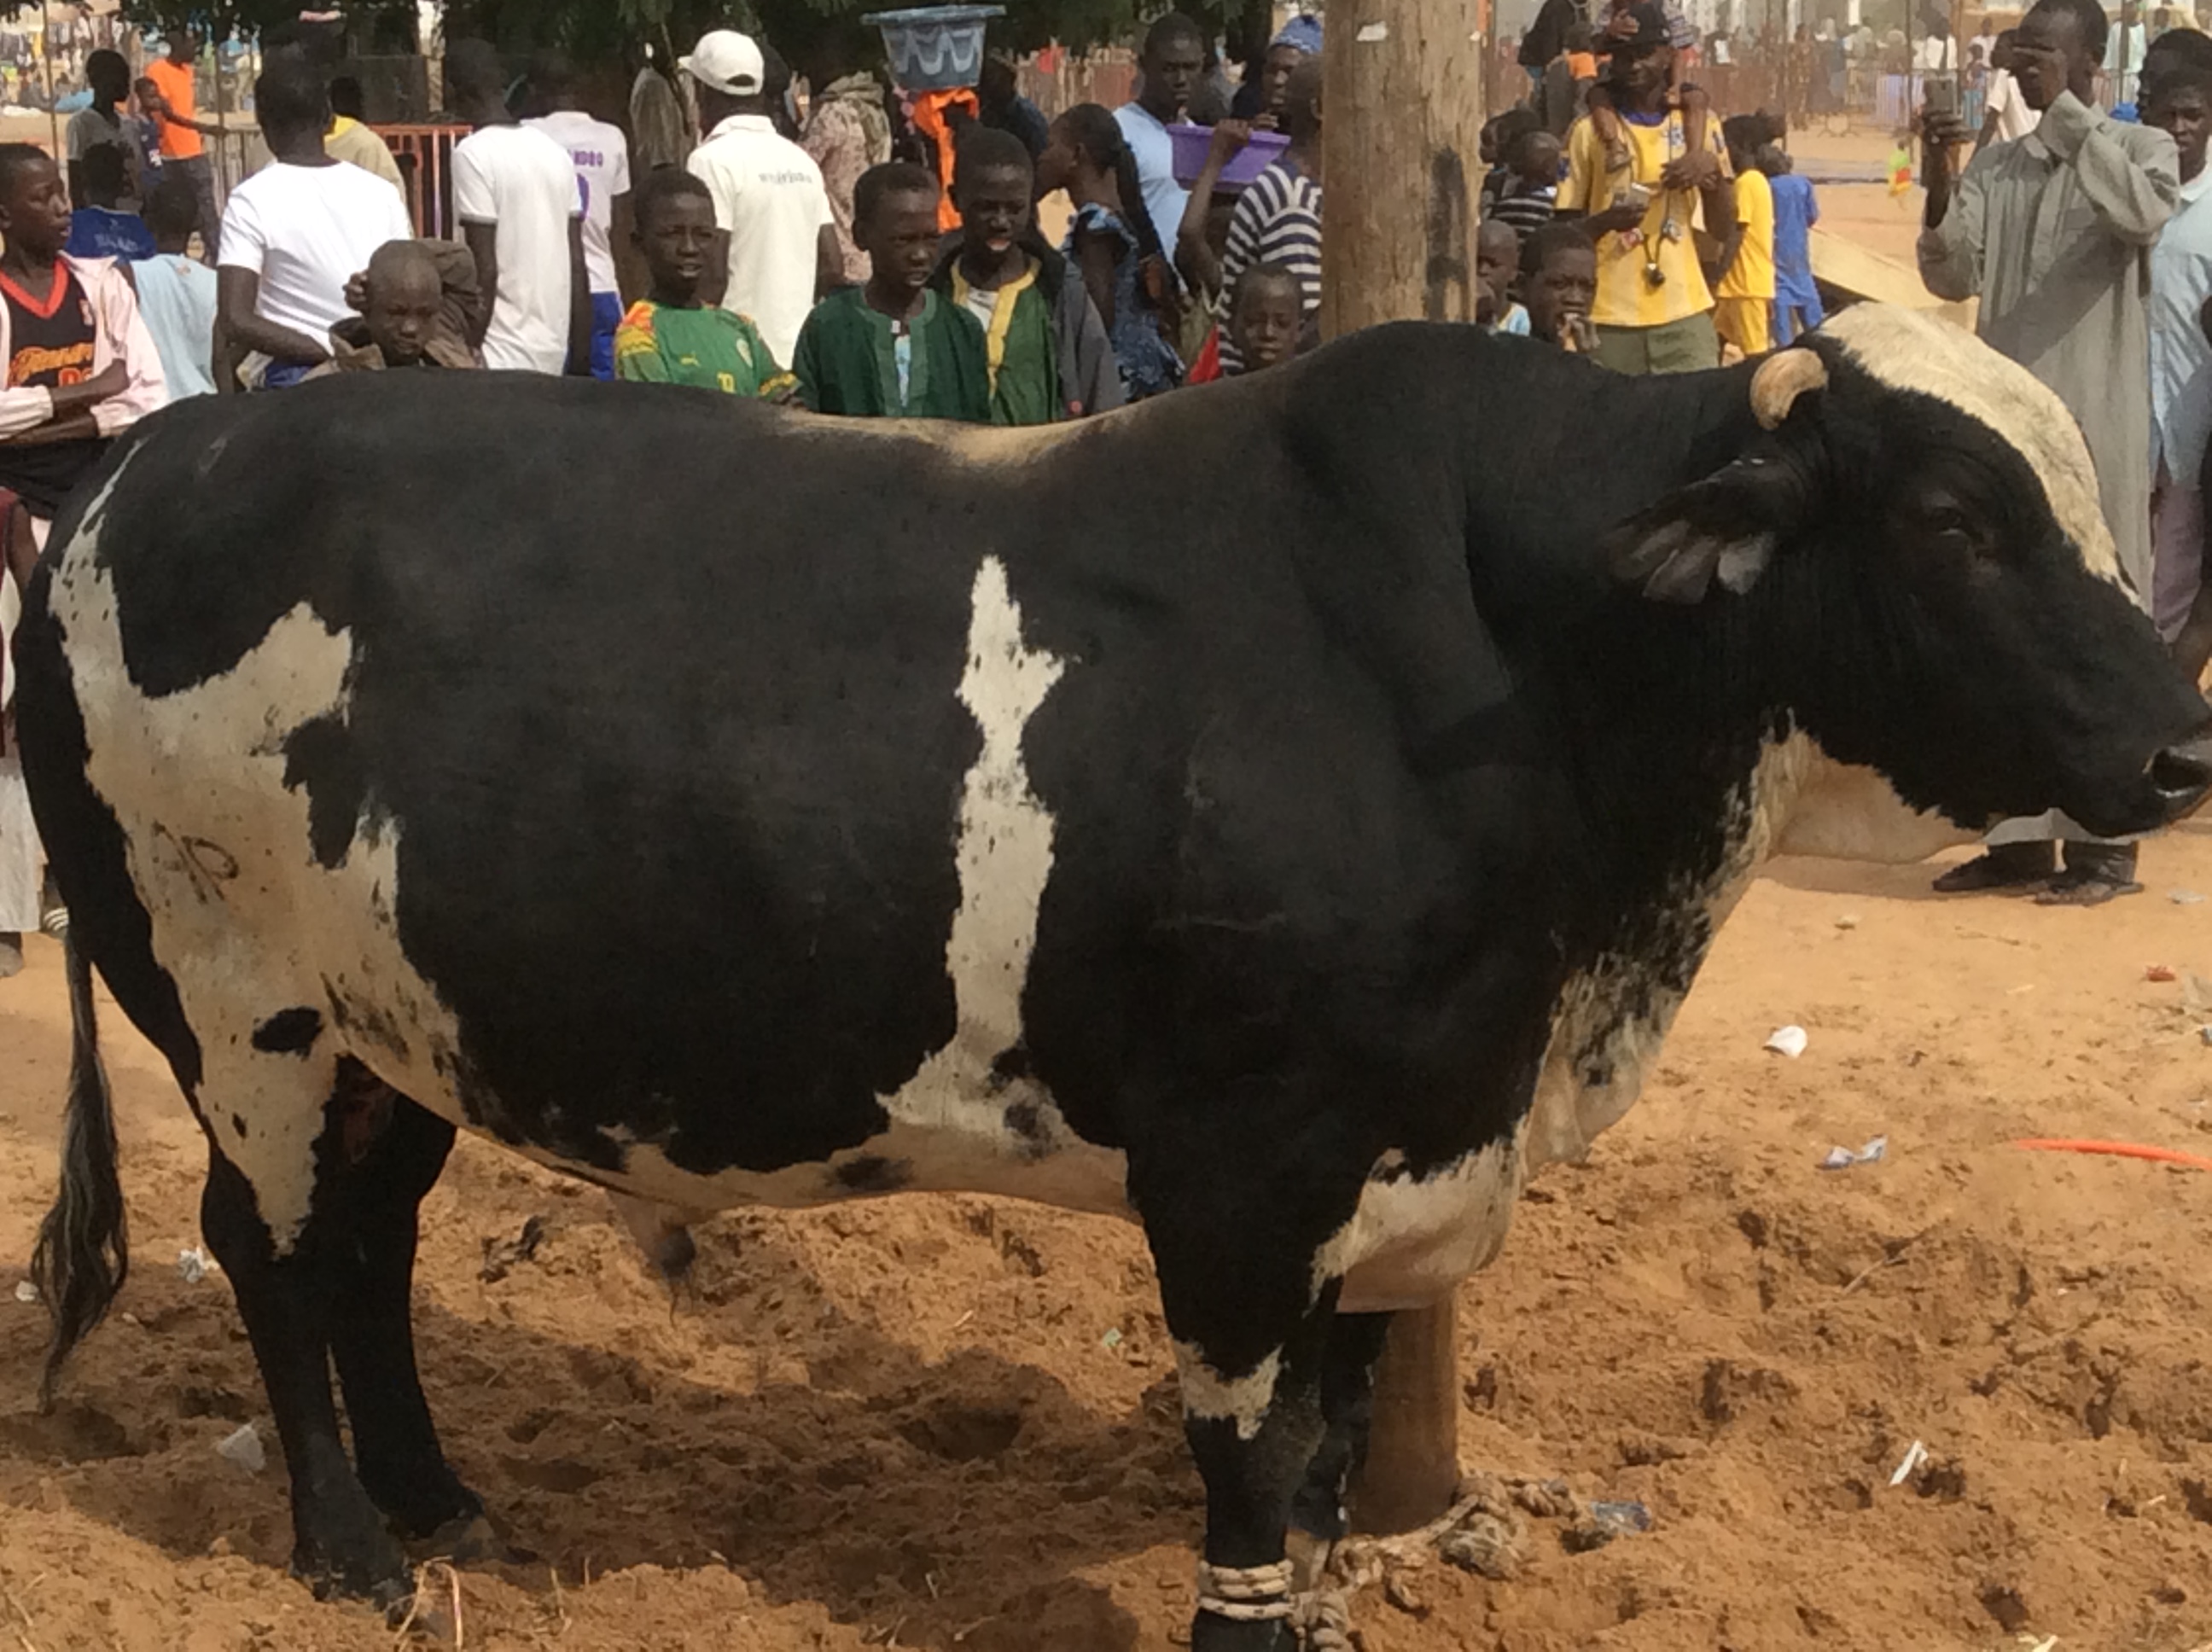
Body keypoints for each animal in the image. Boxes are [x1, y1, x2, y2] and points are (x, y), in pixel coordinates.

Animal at [17, 307, 2212, 1645]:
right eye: (1954, 515)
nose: (2179, 741)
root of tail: (148, 459)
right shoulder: (1241, 1167)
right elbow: (1242, 1449)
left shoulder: (1392, 1156)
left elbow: (1327, 1437)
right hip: (238, 1008)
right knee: (278, 1261)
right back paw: (353, 1549)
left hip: (394, 1029)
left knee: (369, 1249)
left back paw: (451, 1507)